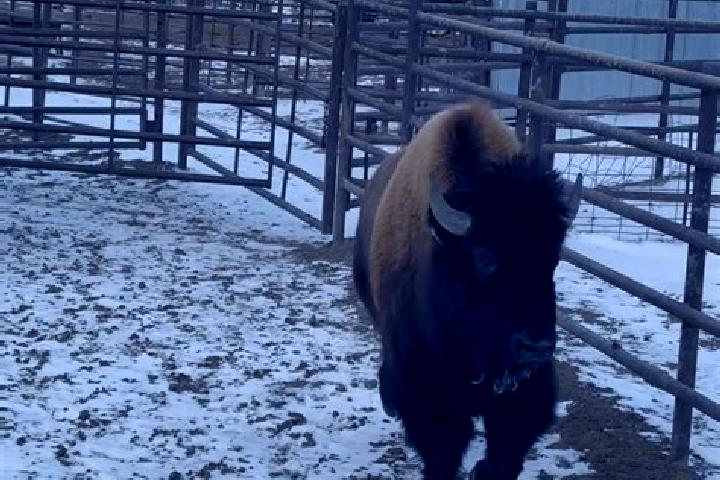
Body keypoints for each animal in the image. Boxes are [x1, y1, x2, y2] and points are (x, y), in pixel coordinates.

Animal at [352, 101, 582, 480]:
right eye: (485, 257)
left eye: (553, 257)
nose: (535, 346)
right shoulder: (429, 399)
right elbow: (443, 454)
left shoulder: (524, 397)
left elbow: (505, 453)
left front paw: (483, 470)